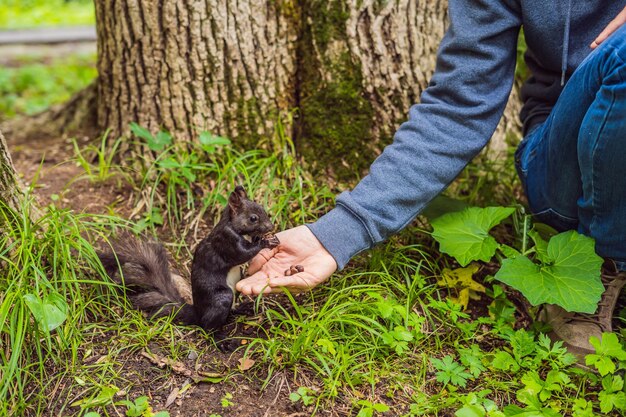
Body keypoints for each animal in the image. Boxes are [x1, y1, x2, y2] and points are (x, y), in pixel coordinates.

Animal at [98, 187, 280, 330]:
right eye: (253, 218)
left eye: (262, 208)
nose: (271, 227)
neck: (232, 225)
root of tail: (197, 313)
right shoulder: (226, 240)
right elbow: (242, 254)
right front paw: (265, 242)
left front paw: (265, 237)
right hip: (221, 298)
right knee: (208, 327)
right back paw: (222, 341)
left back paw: (243, 309)